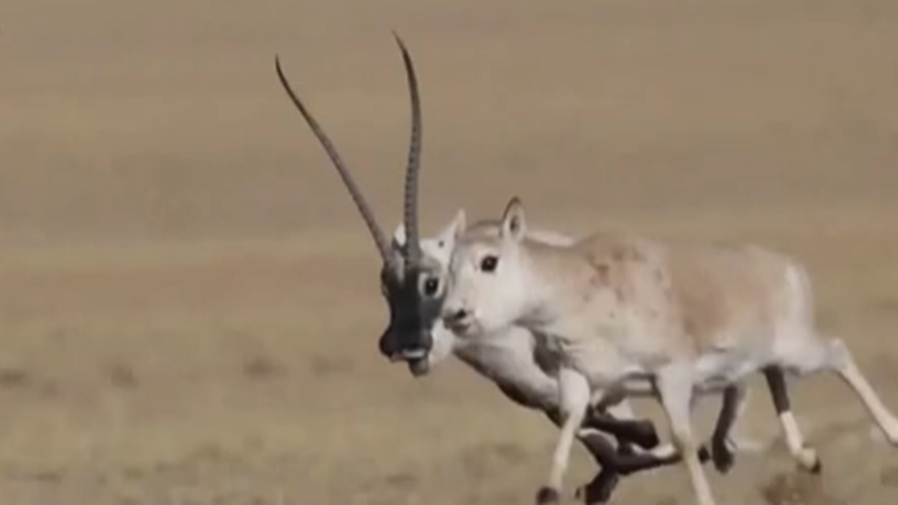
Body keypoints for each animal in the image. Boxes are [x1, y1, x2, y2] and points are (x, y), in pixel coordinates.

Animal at [272, 33, 751, 503]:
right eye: (386, 287)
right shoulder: (543, 396)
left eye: (432, 282)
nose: (402, 344)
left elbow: (638, 435)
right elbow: (611, 444)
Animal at [440, 196, 898, 505]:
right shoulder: (577, 378)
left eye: (489, 261)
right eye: (448, 267)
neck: (576, 288)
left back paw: (889, 433)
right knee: (768, 378)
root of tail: (788, 267)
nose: (453, 314)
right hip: (771, 357)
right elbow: (573, 421)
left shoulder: (670, 378)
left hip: (799, 352)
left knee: (837, 352)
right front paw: (551, 490)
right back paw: (800, 456)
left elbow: (681, 439)